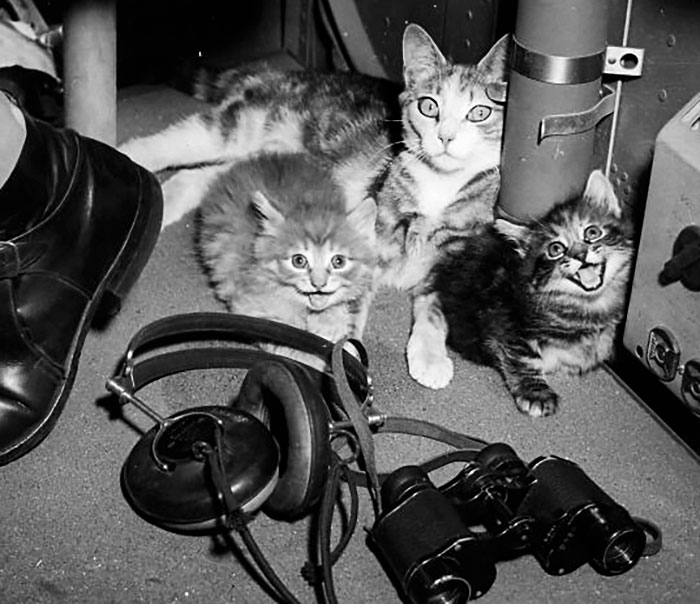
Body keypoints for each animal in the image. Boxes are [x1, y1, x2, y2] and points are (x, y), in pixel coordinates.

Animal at [196, 152, 378, 344]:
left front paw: (329, 321)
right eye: (298, 261)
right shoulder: (250, 309)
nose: (318, 284)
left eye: (338, 261)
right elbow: (283, 335)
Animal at [426, 170, 636, 416]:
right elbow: (523, 356)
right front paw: (536, 393)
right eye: (555, 249)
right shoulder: (502, 315)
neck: (587, 305)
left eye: (592, 232)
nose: (579, 254)